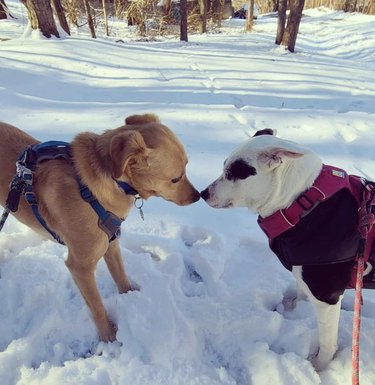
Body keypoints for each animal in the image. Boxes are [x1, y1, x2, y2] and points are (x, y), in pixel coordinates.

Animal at [0, 112, 201, 340]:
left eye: (187, 166)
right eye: (175, 179)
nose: (198, 196)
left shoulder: (111, 243)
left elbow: (120, 276)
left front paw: (130, 296)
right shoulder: (80, 267)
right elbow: (96, 305)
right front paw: (108, 335)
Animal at [201, 129, 375, 368]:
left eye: (232, 173)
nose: (202, 193)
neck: (301, 202)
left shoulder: (327, 297)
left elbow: (327, 342)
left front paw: (319, 366)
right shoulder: (303, 272)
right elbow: (301, 292)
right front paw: (294, 309)